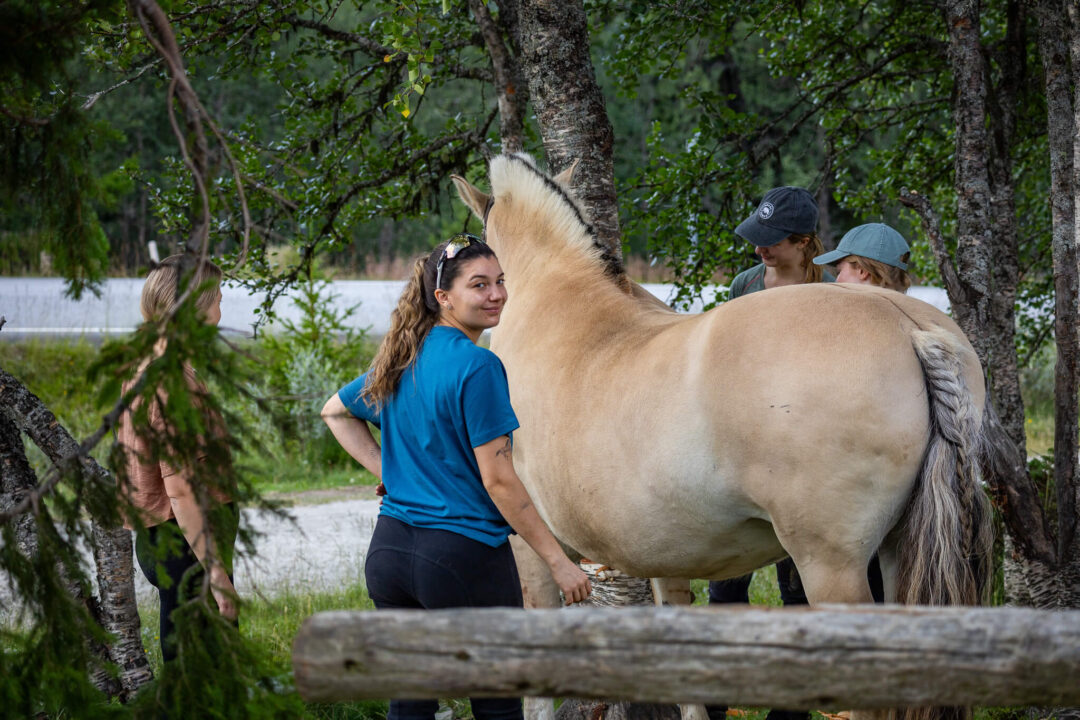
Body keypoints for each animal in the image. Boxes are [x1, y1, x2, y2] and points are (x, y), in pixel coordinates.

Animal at [451, 154, 995, 720]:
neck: (558, 308)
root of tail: (907, 325)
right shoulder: (660, 552)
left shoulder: (529, 546)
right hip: (898, 550)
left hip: (833, 566)